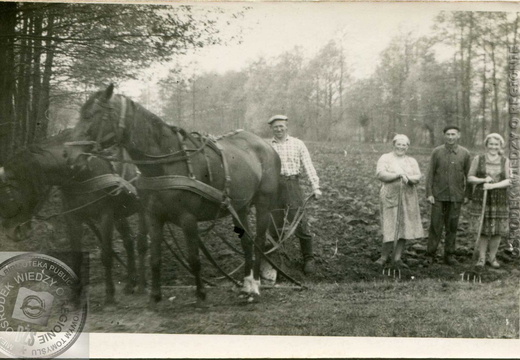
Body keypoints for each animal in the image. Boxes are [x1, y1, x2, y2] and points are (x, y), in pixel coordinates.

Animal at [0, 129, 147, 304]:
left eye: (9, 189)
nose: (12, 232)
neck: (81, 171)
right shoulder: (73, 218)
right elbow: (76, 256)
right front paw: (75, 295)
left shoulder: (105, 216)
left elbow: (106, 255)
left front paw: (110, 294)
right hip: (119, 215)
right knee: (129, 241)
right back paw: (131, 282)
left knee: (142, 244)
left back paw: (142, 284)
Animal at [70, 84, 280, 306]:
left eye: (91, 115)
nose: (71, 156)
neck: (166, 162)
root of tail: (266, 145)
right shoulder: (153, 217)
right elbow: (155, 258)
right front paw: (155, 296)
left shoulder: (188, 219)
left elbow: (194, 259)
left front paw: (201, 295)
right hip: (240, 207)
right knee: (247, 242)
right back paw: (247, 284)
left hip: (264, 204)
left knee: (259, 240)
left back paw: (255, 286)